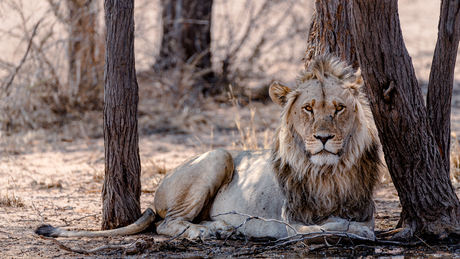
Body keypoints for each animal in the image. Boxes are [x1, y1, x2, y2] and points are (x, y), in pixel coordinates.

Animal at [36, 55, 382, 243]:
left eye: (339, 109)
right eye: (308, 109)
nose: (323, 138)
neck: (327, 172)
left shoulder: (363, 209)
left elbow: (351, 222)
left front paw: (360, 230)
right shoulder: (291, 224)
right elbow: (328, 225)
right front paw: (356, 232)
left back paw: (223, 228)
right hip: (218, 156)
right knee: (166, 224)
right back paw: (205, 233)